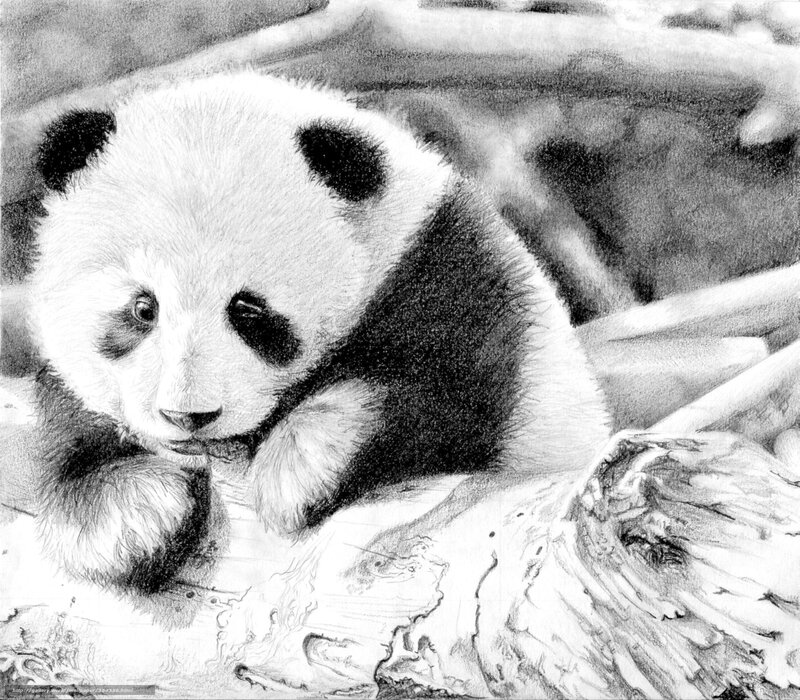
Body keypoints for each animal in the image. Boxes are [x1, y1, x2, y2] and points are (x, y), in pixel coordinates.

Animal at [30, 72, 610, 593]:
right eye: (143, 308)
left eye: (248, 310)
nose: (189, 416)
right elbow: (78, 423)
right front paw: (125, 514)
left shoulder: (450, 279)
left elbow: (443, 396)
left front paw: (296, 472)